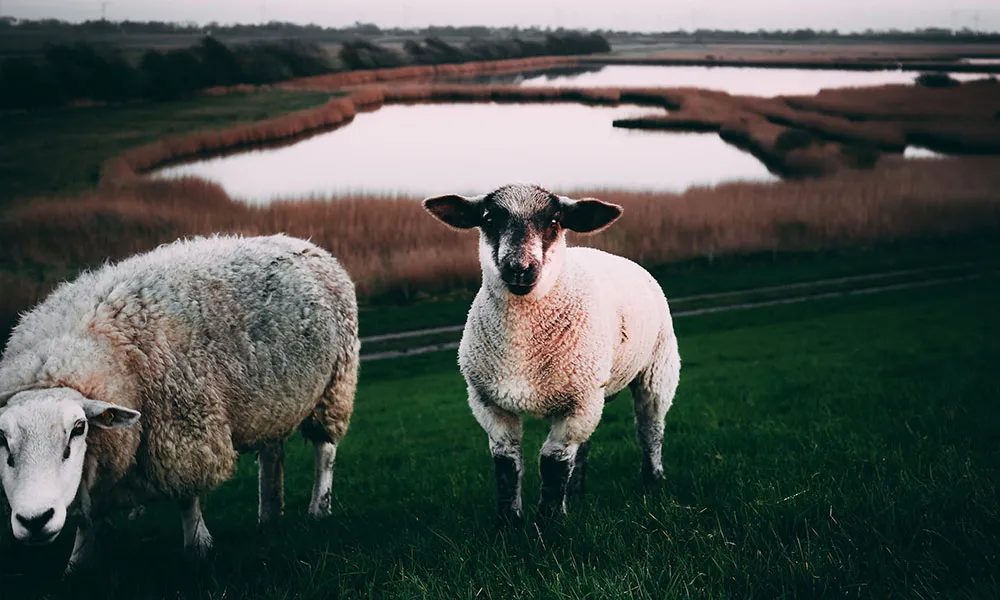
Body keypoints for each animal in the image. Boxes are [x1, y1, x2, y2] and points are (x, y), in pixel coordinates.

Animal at [0, 233, 360, 572]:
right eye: (3, 441)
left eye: (77, 429)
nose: (35, 520)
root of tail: (302, 242)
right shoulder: (105, 459)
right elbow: (89, 517)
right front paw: (77, 564)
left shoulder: (182, 428)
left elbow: (187, 498)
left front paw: (198, 547)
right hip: (275, 401)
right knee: (273, 454)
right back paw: (269, 516)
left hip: (335, 385)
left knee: (325, 451)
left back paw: (318, 509)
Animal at [422, 185, 680, 524]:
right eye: (489, 219)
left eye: (554, 222)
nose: (519, 269)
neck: (520, 350)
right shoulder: (488, 402)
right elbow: (506, 462)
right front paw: (509, 522)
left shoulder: (578, 403)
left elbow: (553, 461)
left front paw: (550, 522)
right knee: (584, 446)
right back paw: (578, 493)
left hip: (657, 368)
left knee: (650, 427)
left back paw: (653, 481)